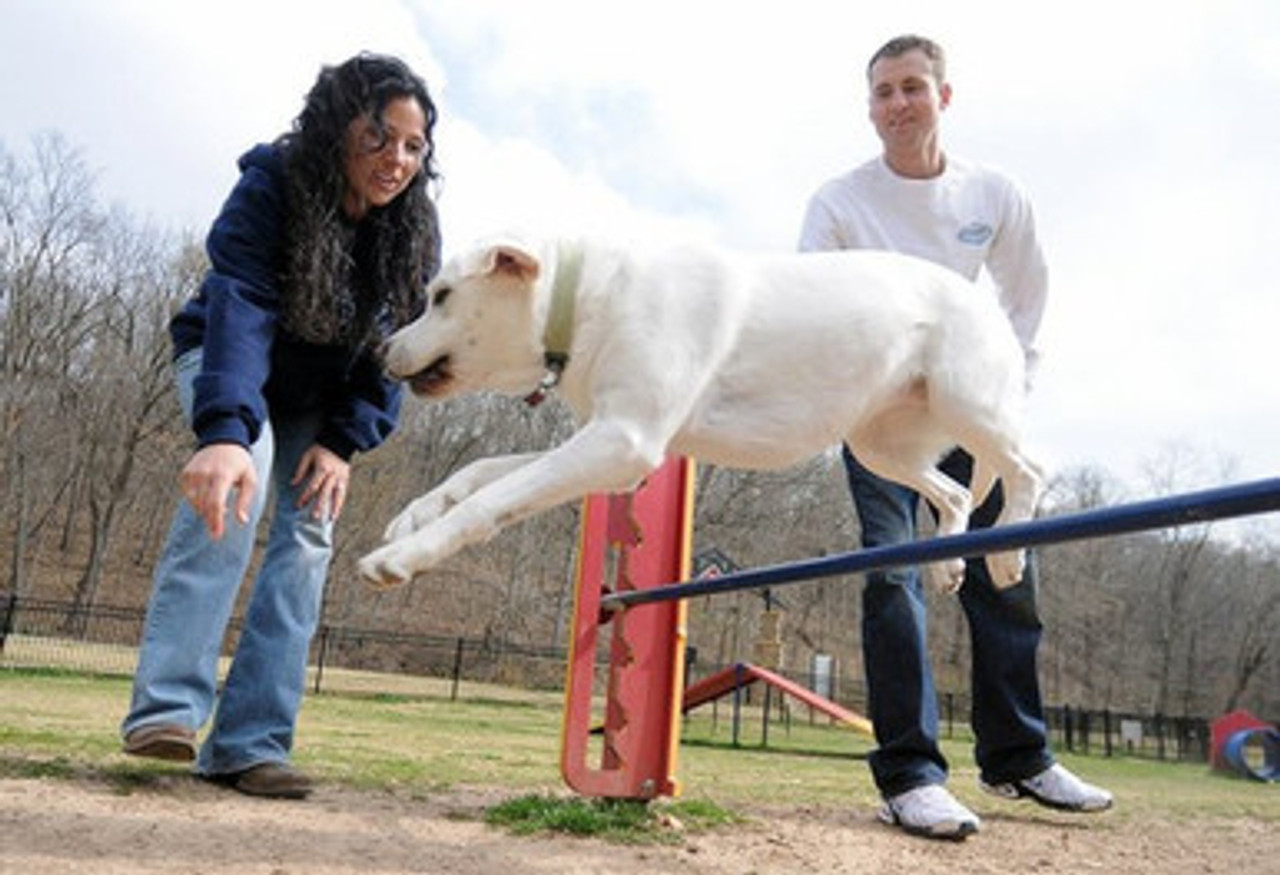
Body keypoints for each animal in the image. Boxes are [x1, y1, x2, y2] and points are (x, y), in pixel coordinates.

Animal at [355, 232, 1044, 591]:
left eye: (442, 295)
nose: (381, 349)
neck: (584, 300)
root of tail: (987, 305)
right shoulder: (608, 443)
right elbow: (479, 473)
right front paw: (414, 515)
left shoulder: (623, 442)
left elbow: (491, 498)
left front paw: (404, 556)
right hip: (883, 444)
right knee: (956, 492)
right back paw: (949, 564)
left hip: (969, 402)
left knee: (1029, 470)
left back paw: (1008, 554)